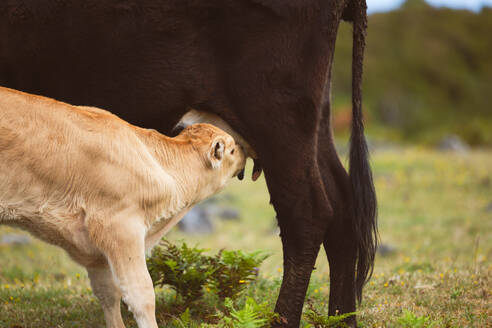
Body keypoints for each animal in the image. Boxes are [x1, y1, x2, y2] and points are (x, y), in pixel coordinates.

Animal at [0, 87, 246, 328]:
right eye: (232, 150)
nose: (244, 152)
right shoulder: (120, 228)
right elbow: (141, 295)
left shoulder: (97, 252)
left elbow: (108, 293)